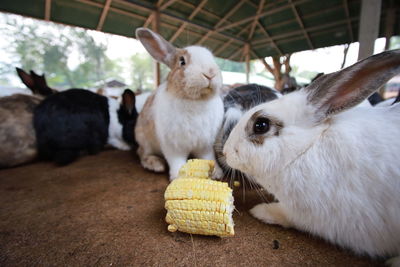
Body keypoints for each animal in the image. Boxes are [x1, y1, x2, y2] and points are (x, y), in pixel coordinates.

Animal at [135, 28, 225, 181]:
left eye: (213, 59)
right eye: (182, 61)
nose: (210, 73)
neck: (196, 101)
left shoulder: (205, 144)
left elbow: (209, 157)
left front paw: (217, 173)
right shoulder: (173, 145)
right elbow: (176, 160)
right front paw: (179, 176)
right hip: (145, 140)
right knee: (141, 153)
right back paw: (155, 164)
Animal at [223, 50, 400, 266]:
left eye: (261, 125)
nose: (225, 151)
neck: (305, 149)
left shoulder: (309, 213)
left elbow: (286, 216)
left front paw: (261, 211)